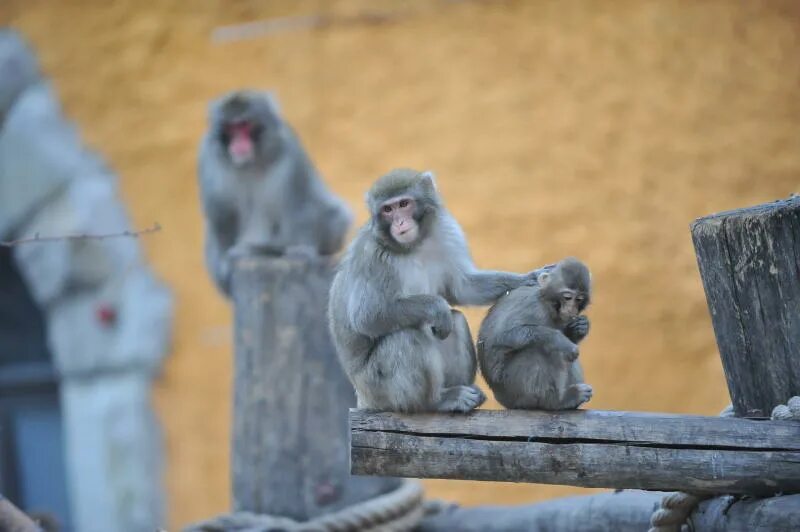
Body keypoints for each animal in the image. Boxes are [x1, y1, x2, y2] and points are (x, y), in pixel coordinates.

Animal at [197, 91, 350, 298]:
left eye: (244, 125)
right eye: (230, 128)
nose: (238, 143)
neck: (250, 162)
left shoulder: (290, 152)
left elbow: (301, 204)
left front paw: (302, 250)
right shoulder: (208, 158)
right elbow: (222, 218)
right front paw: (224, 263)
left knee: (333, 213)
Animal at [326, 168, 552, 414]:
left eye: (403, 204)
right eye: (387, 210)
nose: (400, 222)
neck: (413, 246)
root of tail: (364, 399)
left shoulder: (447, 234)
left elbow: (462, 288)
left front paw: (527, 279)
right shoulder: (372, 256)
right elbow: (367, 316)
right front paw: (437, 307)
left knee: (456, 322)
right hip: (380, 389)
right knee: (407, 336)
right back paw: (436, 401)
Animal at [476, 258, 592, 412]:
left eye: (579, 299)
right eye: (567, 297)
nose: (571, 308)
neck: (546, 303)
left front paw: (581, 327)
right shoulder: (532, 306)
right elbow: (501, 336)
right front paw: (559, 340)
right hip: (512, 392)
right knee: (534, 350)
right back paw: (557, 401)